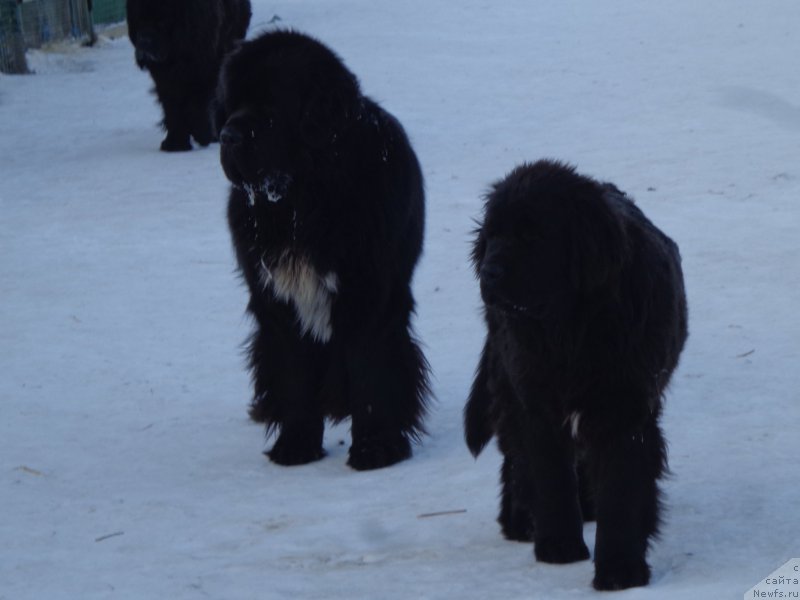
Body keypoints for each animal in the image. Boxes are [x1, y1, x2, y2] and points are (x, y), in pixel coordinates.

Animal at [126, 0, 250, 152]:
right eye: (139, 21)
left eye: (161, 22)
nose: (144, 41)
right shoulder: (164, 77)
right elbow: (171, 106)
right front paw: (174, 142)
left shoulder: (203, 67)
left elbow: (198, 103)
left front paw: (202, 134)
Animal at [217, 31, 432, 474]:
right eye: (232, 103)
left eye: (269, 108)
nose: (227, 135)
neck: (304, 201)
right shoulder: (278, 304)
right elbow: (295, 377)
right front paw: (296, 445)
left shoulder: (370, 295)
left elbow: (371, 370)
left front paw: (375, 449)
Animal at [468, 161, 688, 592]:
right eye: (493, 234)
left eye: (532, 234)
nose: (488, 271)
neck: (570, 332)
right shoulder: (536, 405)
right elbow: (550, 476)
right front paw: (558, 546)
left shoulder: (623, 410)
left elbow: (621, 489)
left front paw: (619, 569)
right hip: (510, 381)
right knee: (516, 458)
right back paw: (520, 520)